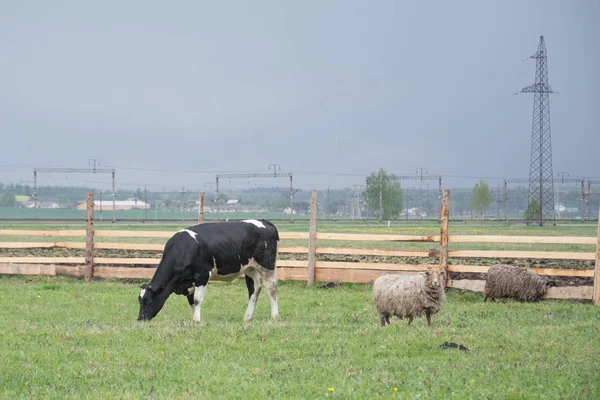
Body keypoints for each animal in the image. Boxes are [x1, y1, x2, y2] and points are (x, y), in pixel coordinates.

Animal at [139, 219, 280, 322]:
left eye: (148, 301)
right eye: (140, 301)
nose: (140, 319)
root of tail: (265, 222)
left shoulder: (202, 275)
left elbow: (197, 300)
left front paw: (197, 321)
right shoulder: (188, 281)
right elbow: (191, 301)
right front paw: (194, 318)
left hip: (266, 266)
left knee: (271, 287)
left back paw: (275, 316)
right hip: (250, 268)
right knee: (254, 290)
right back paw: (247, 317)